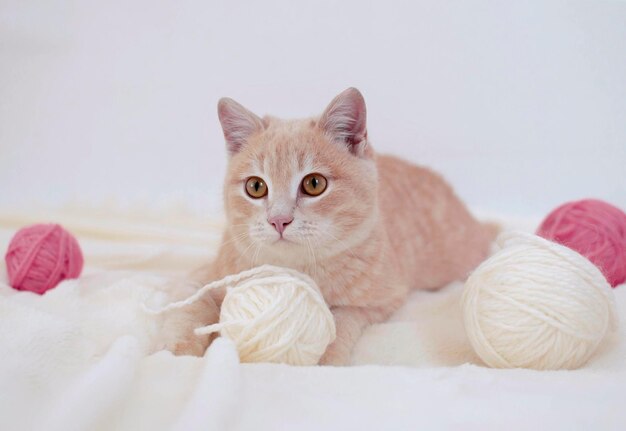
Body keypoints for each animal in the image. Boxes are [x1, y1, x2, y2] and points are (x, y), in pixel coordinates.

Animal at [193, 89, 494, 366]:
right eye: (255, 187)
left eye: (314, 184)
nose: (279, 220)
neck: (299, 268)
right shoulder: (207, 276)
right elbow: (195, 306)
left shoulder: (384, 300)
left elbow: (343, 318)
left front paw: (327, 358)